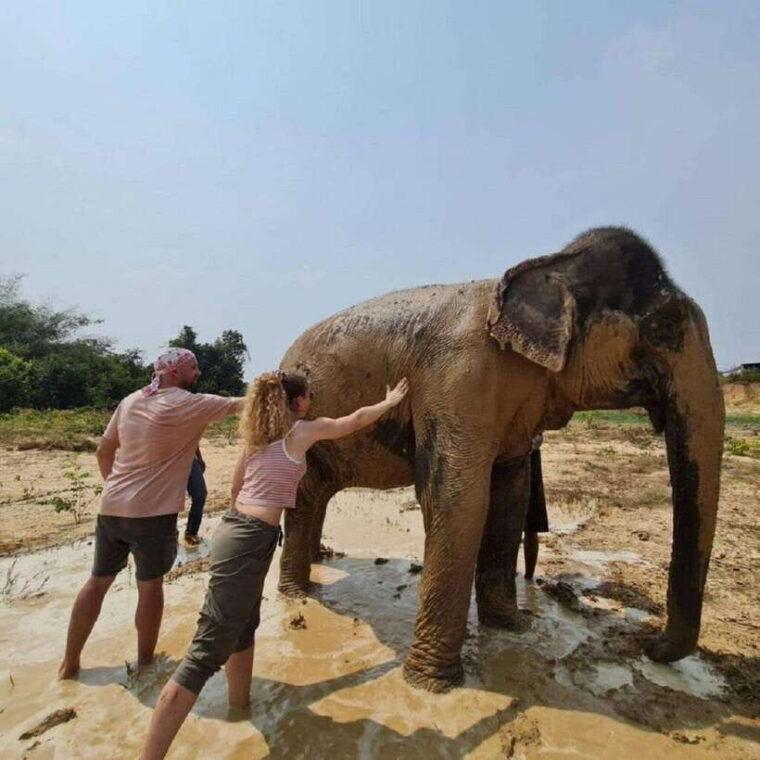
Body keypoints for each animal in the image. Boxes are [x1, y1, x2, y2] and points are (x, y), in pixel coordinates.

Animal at [277, 226, 724, 693]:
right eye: (663, 327)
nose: (647, 644)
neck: (548, 264)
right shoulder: (458, 379)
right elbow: (457, 501)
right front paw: (431, 684)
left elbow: (510, 497)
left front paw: (512, 627)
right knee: (305, 491)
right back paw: (297, 594)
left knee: (321, 491)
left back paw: (319, 563)